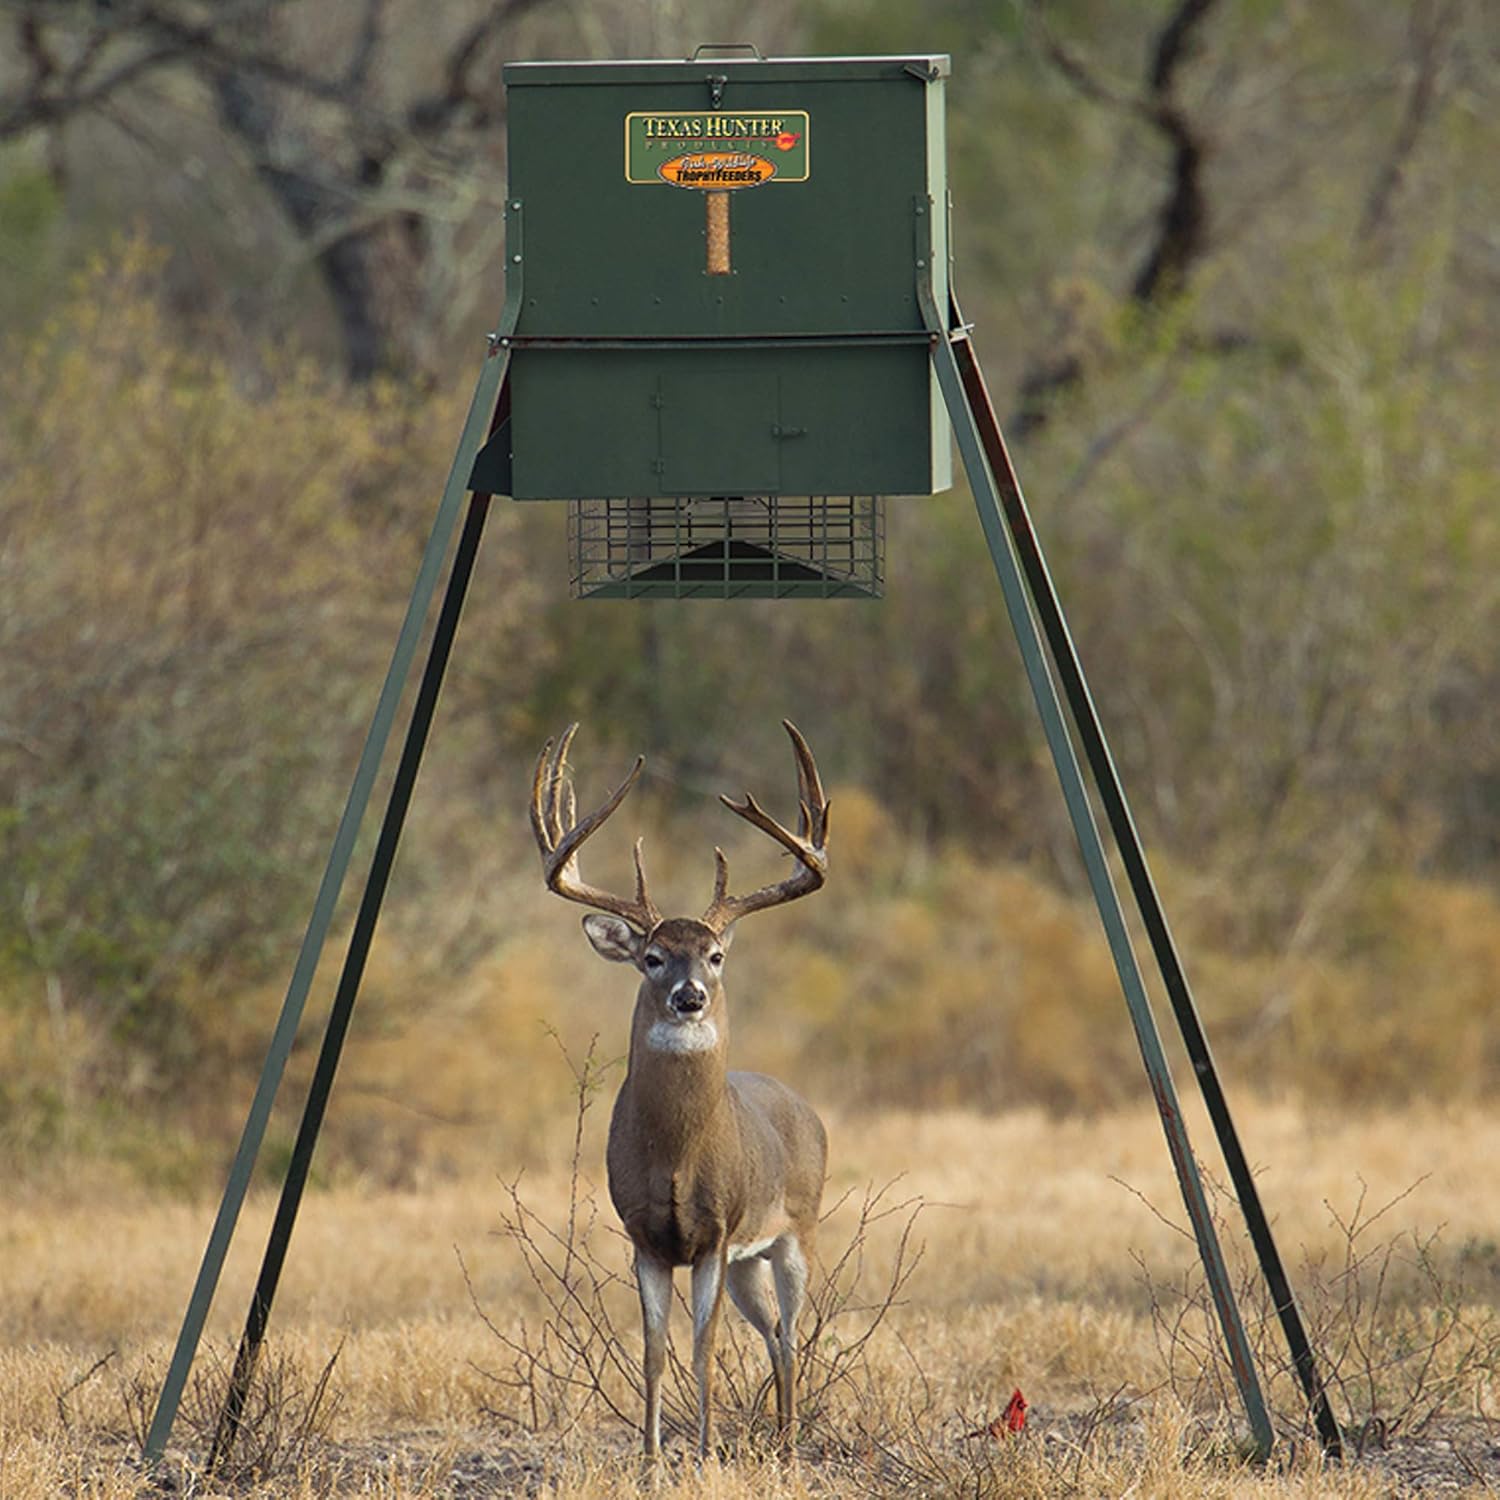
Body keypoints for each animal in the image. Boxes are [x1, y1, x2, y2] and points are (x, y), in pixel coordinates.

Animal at [530, 720, 830, 1461]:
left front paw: (699, 1453)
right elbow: (654, 1353)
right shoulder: (646, 1236)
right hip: (751, 1260)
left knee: (791, 1332)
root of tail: (805, 1108)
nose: (689, 997)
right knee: (774, 1334)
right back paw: (778, 1439)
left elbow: (702, 1348)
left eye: (715, 955)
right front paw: (650, 1459)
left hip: (796, 1232)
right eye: (652, 957)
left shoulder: (715, 1233)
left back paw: (787, 1446)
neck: (675, 1154)